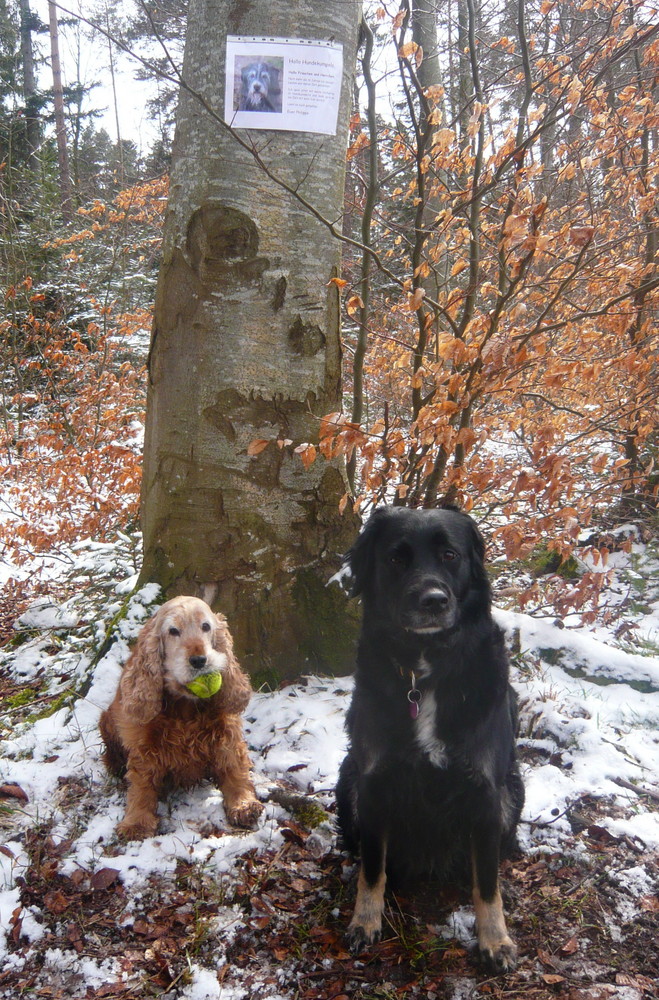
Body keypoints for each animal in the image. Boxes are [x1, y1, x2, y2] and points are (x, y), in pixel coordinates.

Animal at [338, 508, 524, 968]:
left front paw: (495, 939)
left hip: (513, 792)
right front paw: (364, 921)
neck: (425, 674)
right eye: (396, 559)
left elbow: (487, 884)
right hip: (347, 781)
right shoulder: (372, 783)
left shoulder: (486, 791)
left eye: (450, 555)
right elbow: (373, 869)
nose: (434, 600)